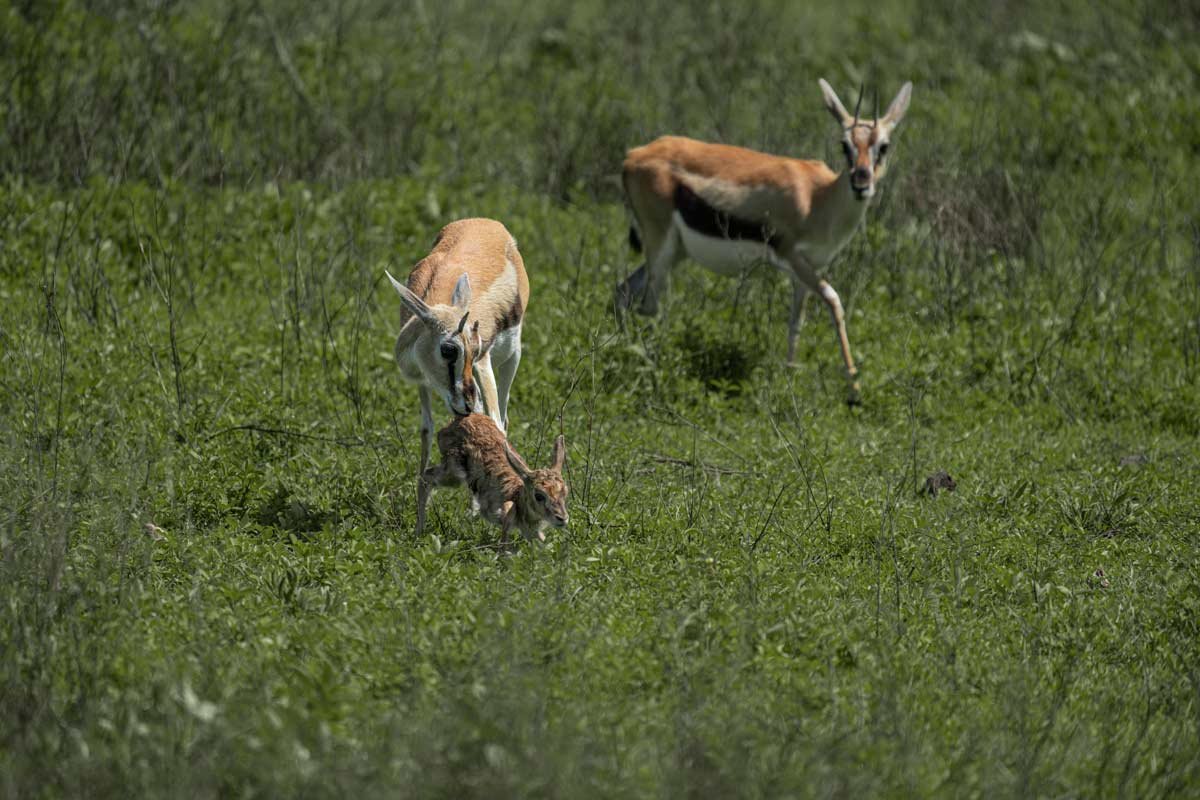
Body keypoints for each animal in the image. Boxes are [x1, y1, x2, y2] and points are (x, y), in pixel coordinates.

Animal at [386, 218, 529, 477]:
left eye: (476, 349)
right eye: (449, 350)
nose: (467, 403)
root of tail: (489, 223)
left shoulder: (482, 364)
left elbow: (493, 425)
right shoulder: (424, 380)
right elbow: (426, 429)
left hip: (513, 356)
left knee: (502, 420)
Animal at [616, 79, 913, 405]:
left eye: (883, 146)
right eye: (844, 144)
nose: (861, 182)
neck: (818, 199)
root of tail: (632, 156)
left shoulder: (806, 270)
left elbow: (796, 323)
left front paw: (790, 378)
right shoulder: (792, 257)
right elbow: (834, 301)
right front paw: (855, 393)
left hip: (675, 253)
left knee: (623, 292)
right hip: (661, 247)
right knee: (649, 306)